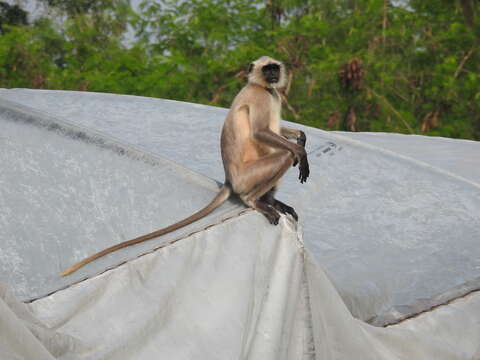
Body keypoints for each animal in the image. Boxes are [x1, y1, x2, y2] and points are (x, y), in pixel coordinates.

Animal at [61, 55, 308, 276]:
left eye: (274, 68)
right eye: (267, 69)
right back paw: (255, 200)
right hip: (247, 178)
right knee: (285, 155)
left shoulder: (271, 95)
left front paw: (301, 137)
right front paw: (301, 152)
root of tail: (229, 180)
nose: (273, 75)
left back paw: (271, 200)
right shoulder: (259, 96)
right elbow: (261, 133)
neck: (264, 88)